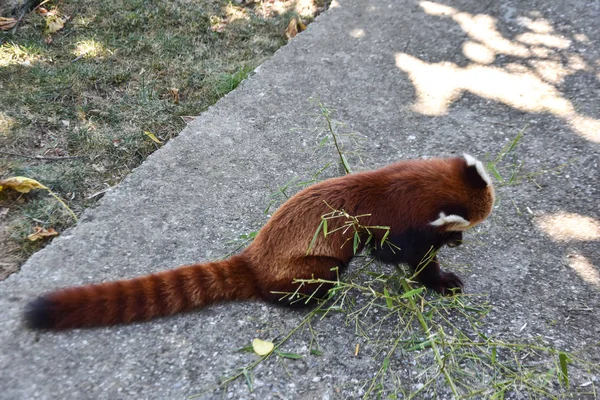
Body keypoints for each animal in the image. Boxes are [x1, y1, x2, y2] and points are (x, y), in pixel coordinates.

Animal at [24, 153, 492, 328]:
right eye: (467, 224)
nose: (461, 238)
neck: (406, 182)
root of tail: (253, 258)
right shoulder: (394, 223)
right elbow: (405, 257)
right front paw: (442, 274)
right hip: (313, 266)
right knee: (317, 277)